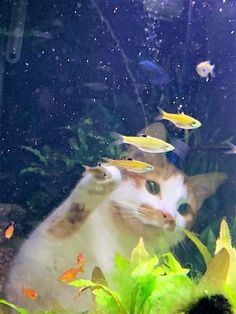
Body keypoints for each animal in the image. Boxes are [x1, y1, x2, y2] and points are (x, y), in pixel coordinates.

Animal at [3, 123, 225, 314]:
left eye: (184, 208)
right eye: (152, 187)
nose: (168, 216)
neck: (119, 237)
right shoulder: (30, 278)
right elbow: (66, 220)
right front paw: (101, 179)